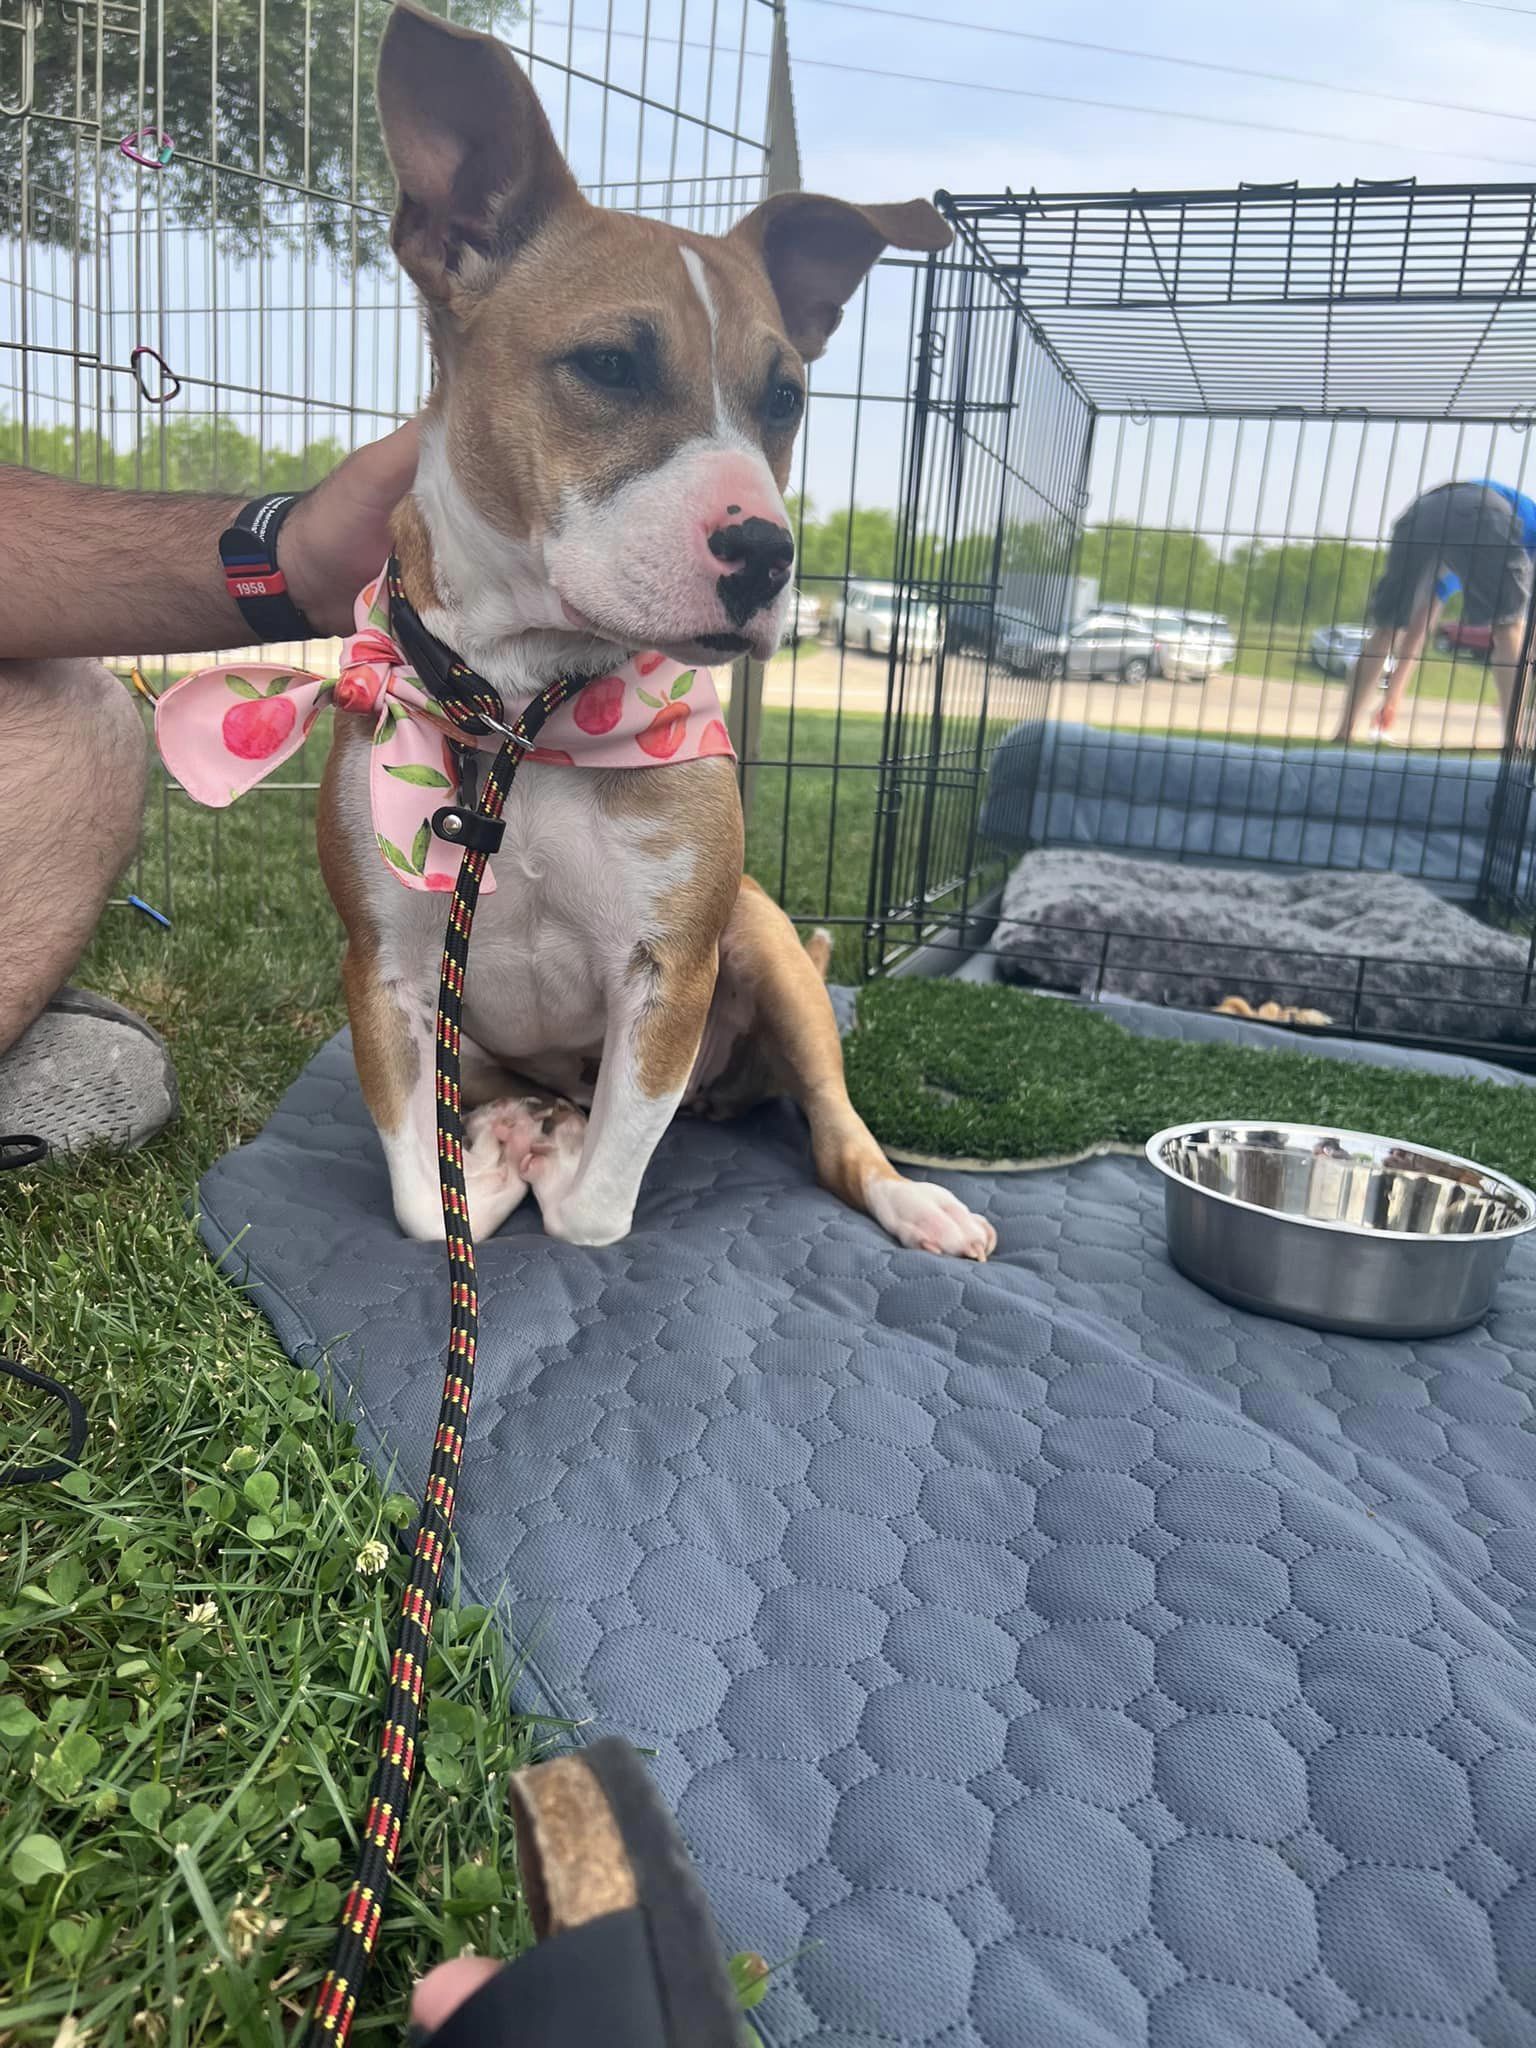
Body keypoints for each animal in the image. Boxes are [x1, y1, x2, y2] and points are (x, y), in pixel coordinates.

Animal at [321, 8, 999, 1261]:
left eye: (785, 397)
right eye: (609, 364)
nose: (767, 552)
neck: (528, 709)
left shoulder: (670, 973)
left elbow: (599, 1204)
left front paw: (559, 1163)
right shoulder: (383, 969)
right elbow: (421, 1199)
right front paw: (495, 1156)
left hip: (771, 949)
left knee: (835, 1129)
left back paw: (914, 1199)